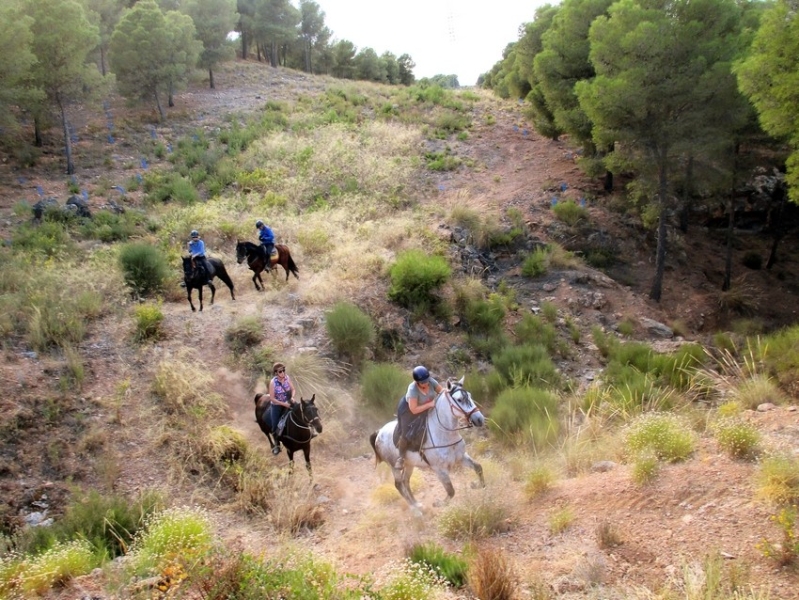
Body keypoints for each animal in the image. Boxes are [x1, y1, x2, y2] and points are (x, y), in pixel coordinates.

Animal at [370, 376, 488, 510]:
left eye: (469, 395)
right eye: (459, 399)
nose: (479, 419)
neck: (444, 434)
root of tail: (379, 432)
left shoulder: (461, 457)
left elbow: (478, 467)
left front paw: (475, 484)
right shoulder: (440, 469)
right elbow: (451, 491)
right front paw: (438, 503)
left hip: (409, 464)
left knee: (406, 481)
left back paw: (417, 504)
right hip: (393, 466)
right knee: (399, 485)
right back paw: (415, 509)